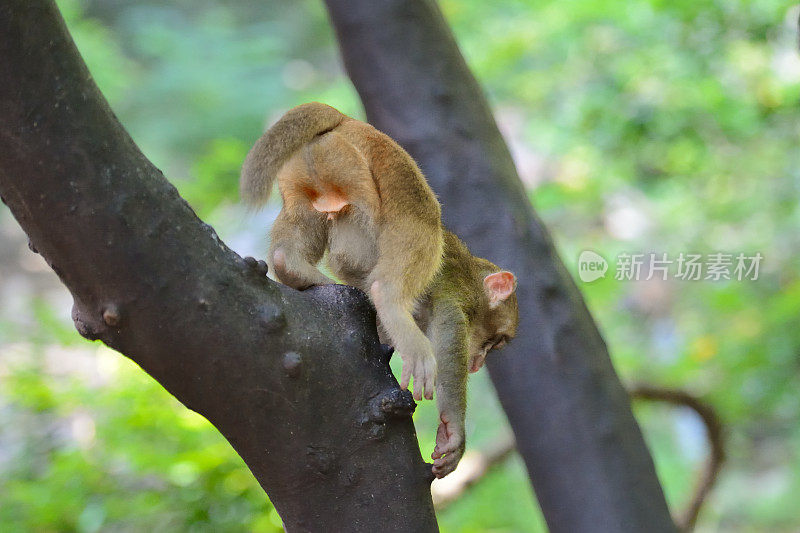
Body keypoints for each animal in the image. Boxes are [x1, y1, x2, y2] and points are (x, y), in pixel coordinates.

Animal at [241, 102, 520, 476]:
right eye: (495, 342)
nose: (479, 361)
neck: (474, 281)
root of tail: (348, 120)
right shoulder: (457, 297)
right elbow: (448, 340)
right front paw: (452, 429)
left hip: (313, 167)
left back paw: (297, 269)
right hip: (376, 173)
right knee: (421, 219)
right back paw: (389, 302)